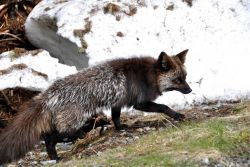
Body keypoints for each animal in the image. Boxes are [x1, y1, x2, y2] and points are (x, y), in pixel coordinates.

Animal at [0, 49, 191, 164]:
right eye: (178, 79)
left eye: (185, 77)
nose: (190, 90)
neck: (148, 74)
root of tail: (48, 94)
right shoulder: (140, 103)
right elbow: (164, 107)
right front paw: (177, 115)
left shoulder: (117, 101)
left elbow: (116, 118)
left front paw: (121, 128)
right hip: (73, 121)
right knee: (51, 137)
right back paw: (65, 148)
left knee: (51, 137)